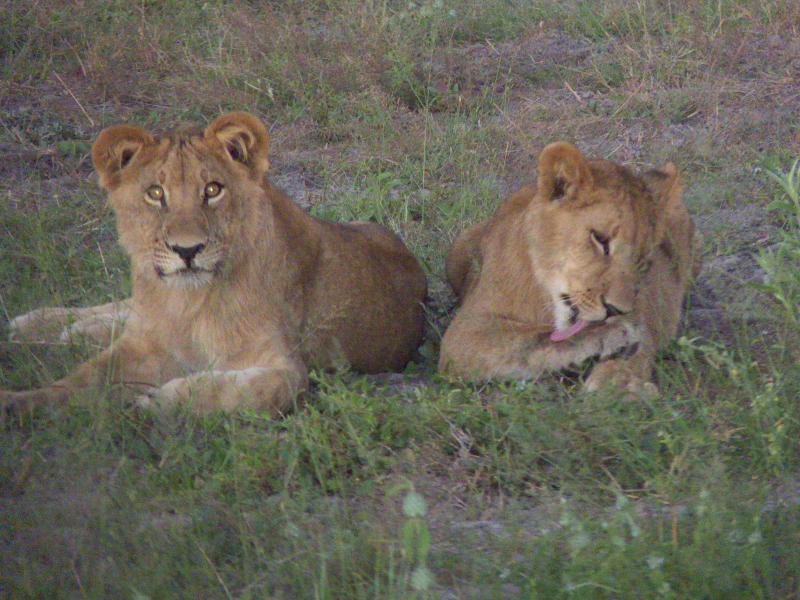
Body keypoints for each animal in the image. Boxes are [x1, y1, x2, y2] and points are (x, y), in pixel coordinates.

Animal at [2, 112, 427, 414]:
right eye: (155, 193)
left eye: (212, 189)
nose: (187, 250)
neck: (187, 303)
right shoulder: (142, 345)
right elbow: (77, 383)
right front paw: (17, 405)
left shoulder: (287, 370)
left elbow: (231, 392)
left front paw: (159, 400)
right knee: (120, 308)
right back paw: (41, 324)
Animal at [438, 141, 699, 393]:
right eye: (600, 239)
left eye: (644, 261)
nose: (615, 310)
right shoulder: (465, 331)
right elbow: (534, 340)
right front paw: (608, 336)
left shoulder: (642, 308)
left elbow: (641, 342)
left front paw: (618, 382)